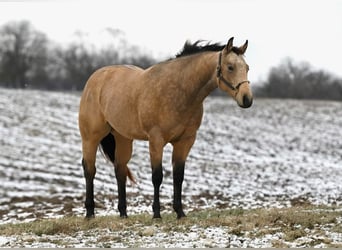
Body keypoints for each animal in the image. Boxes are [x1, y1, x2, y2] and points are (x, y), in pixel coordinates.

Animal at [79, 36, 252, 219]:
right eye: (230, 67)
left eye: (247, 68)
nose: (247, 99)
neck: (179, 91)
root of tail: (95, 78)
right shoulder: (156, 140)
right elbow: (157, 176)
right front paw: (156, 213)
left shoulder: (185, 141)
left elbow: (178, 176)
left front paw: (180, 212)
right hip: (90, 137)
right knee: (90, 170)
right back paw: (90, 213)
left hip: (122, 138)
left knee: (120, 170)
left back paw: (123, 214)